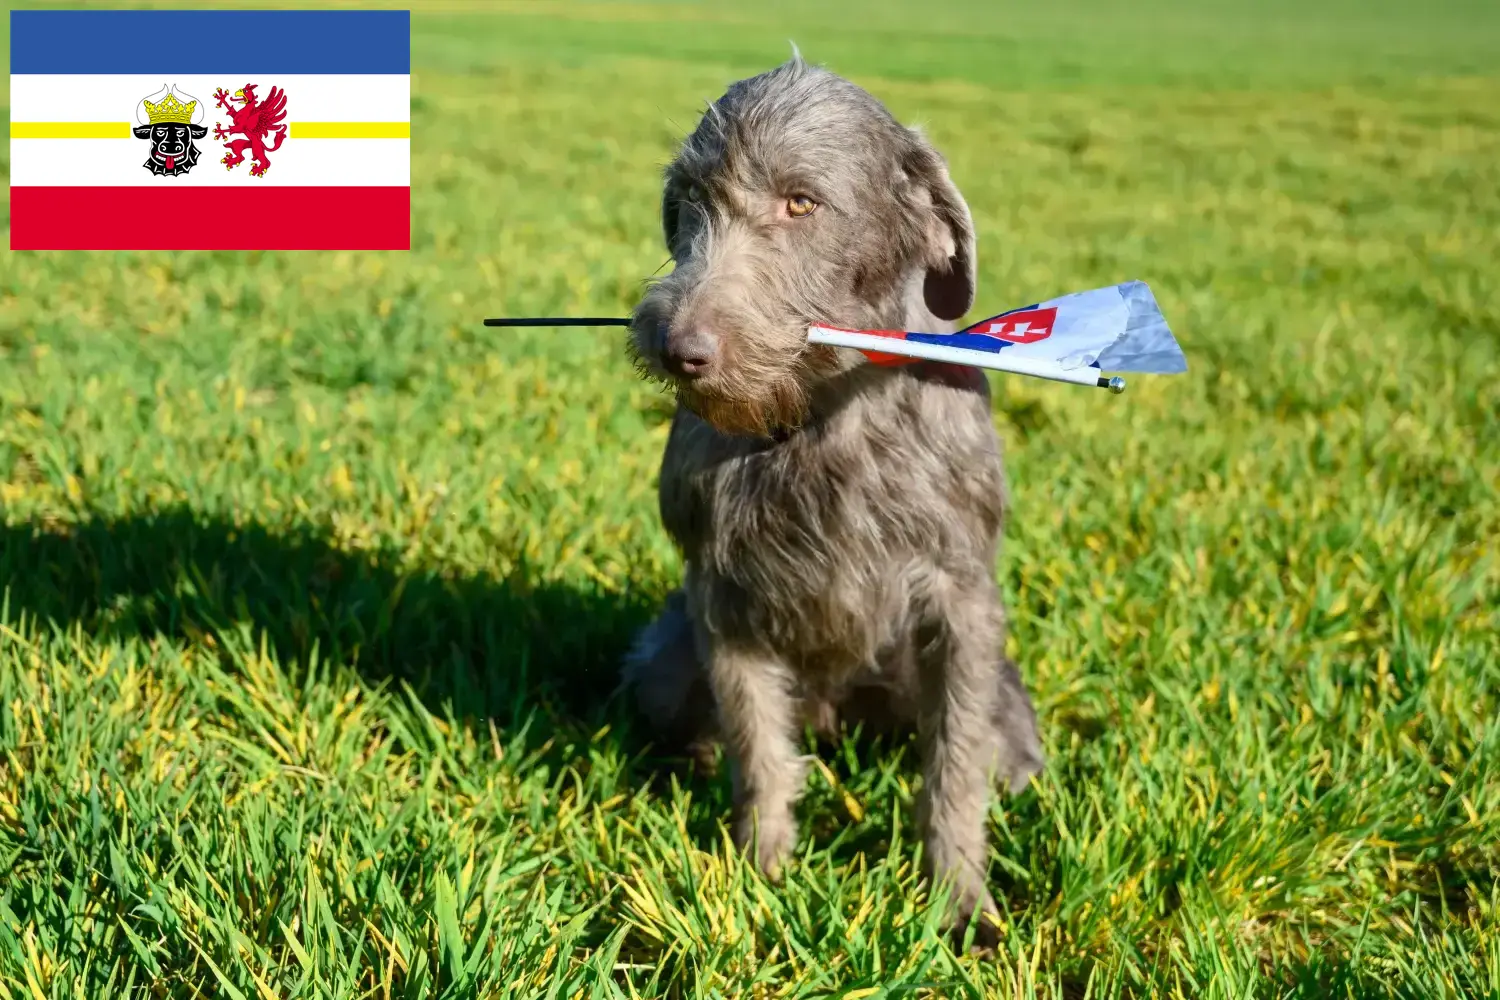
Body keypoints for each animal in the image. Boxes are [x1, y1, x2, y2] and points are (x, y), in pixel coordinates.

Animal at [618, 54, 1044, 947]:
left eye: (802, 202)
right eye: (688, 200)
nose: (678, 349)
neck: (822, 411)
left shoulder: (961, 602)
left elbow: (955, 765)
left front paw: (961, 898)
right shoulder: (722, 598)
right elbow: (758, 750)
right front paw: (761, 870)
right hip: (664, 663)